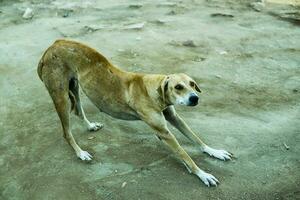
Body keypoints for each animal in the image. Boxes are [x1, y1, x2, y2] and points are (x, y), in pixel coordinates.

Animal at [37, 39, 232, 187]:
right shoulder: (164, 133)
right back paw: (80, 153)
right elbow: (185, 154)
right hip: (61, 98)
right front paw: (203, 174)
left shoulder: (174, 117)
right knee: (66, 132)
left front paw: (214, 151)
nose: (195, 98)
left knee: (78, 111)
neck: (154, 90)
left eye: (192, 84)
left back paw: (90, 126)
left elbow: (196, 138)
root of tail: (52, 45)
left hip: (75, 87)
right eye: (178, 87)